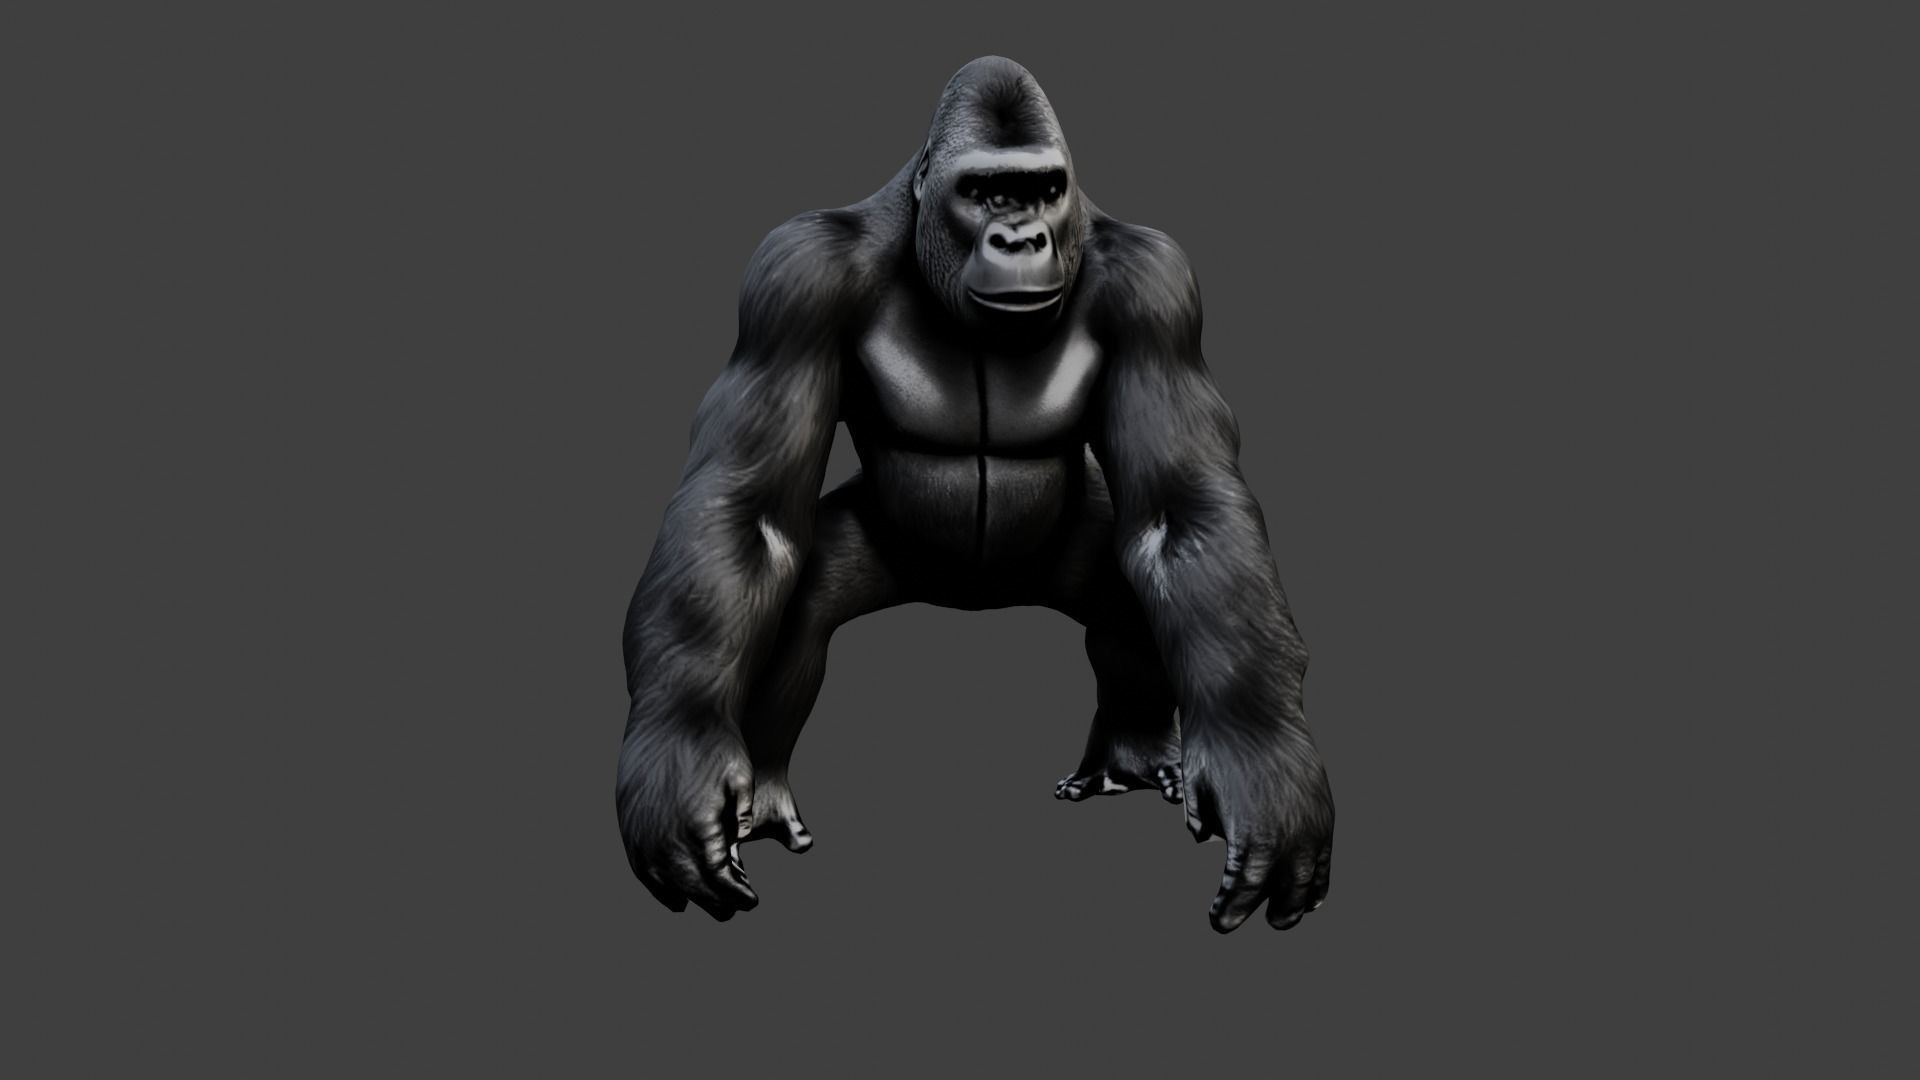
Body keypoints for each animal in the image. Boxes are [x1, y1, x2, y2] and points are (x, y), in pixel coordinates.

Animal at [617, 57, 1332, 933]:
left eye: (1043, 190)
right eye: (986, 193)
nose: (1019, 237)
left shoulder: (1159, 285)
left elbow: (1180, 516)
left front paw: (1265, 768)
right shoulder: (795, 274)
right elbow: (751, 521)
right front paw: (676, 763)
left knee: (1133, 585)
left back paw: (1129, 754)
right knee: (795, 593)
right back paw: (765, 795)